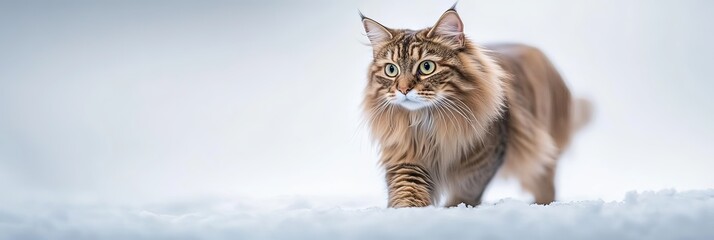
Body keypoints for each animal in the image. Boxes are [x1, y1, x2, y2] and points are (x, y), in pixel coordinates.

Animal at [362, 6, 588, 208]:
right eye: (391, 70)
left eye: (427, 67)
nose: (403, 89)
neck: (428, 124)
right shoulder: (406, 157)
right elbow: (407, 192)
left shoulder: (482, 163)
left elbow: (465, 192)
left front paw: (454, 208)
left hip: (542, 150)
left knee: (545, 181)